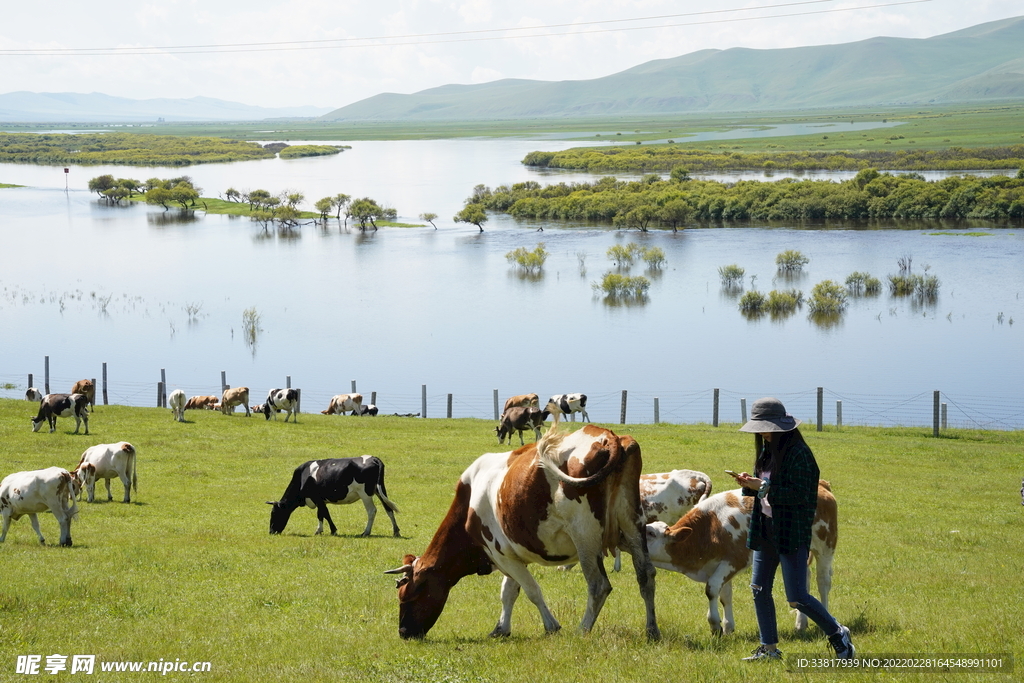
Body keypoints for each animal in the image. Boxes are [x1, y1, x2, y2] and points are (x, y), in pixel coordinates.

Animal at [268, 456, 399, 536]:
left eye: (274, 513)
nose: (271, 531)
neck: (302, 477)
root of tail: (373, 458)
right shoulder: (319, 500)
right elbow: (320, 514)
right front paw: (319, 530)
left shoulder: (316, 497)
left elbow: (325, 513)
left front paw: (333, 530)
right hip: (380, 489)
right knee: (389, 509)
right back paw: (396, 531)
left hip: (365, 493)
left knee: (372, 510)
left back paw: (365, 532)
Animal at [385, 423, 663, 643]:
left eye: (408, 595)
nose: (403, 632)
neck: (470, 502)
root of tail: (609, 435)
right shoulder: (513, 552)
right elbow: (509, 592)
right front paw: (501, 628)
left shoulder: (500, 553)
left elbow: (531, 590)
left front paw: (552, 626)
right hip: (633, 524)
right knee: (646, 575)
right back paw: (652, 630)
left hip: (585, 534)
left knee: (598, 584)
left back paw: (582, 630)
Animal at [647, 481, 839, 634]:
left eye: (650, 533)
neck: (709, 528)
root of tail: (822, 485)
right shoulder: (718, 564)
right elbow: (725, 595)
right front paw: (728, 626)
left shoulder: (734, 560)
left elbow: (711, 589)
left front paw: (715, 625)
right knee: (802, 582)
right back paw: (801, 623)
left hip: (826, 546)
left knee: (823, 582)